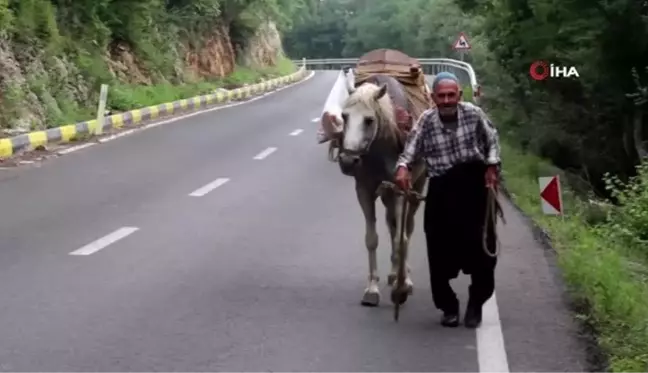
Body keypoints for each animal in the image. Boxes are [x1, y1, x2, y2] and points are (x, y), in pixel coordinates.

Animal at [320, 72, 430, 306]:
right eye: (344, 116)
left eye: (369, 120)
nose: (348, 161)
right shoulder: (364, 190)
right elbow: (372, 239)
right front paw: (372, 289)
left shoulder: (400, 190)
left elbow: (401, 238)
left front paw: (401, 287)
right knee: (392, 225)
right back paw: (393, 274)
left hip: (416, 187)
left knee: (406, 229)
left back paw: (404, 277)